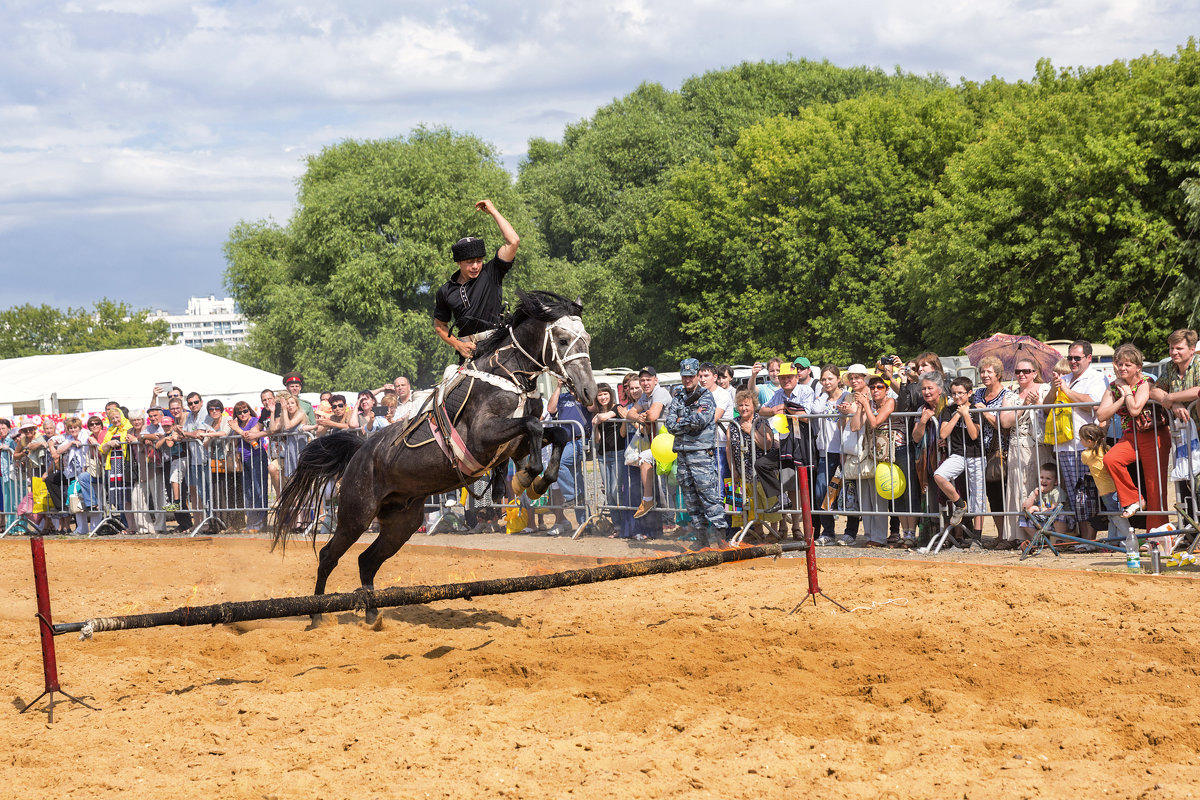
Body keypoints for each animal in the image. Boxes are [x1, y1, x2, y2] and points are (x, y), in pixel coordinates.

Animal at [270, 291, 592, 628]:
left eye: (587, 339)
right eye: (562, 338)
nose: (587, 390)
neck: (508, 376)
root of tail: (359, 452)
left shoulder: (515, 444)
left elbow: (557, 433)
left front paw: (537, 482)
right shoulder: (485, 436)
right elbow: (533, 427)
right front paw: (526, 477)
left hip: (401, 523)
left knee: (366, 560)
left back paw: (372, 614)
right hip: (356, 516)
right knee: (329, 556)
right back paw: (316, 615)